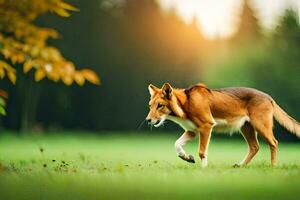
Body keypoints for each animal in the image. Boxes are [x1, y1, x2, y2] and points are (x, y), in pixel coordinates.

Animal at [146, 82, 300, 167]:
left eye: (160, 105)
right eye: (150, 106)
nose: (148, 120)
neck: (186, 103)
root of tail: (268, 96)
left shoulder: (206, 126)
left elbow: (202, 152)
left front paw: (203, 170)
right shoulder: (192, 131)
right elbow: (177, 144)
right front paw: (187, 157)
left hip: (261, 126)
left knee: (274, 143)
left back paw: (272, 167)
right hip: (246, 128)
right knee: (254, 147)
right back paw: (240, 165)